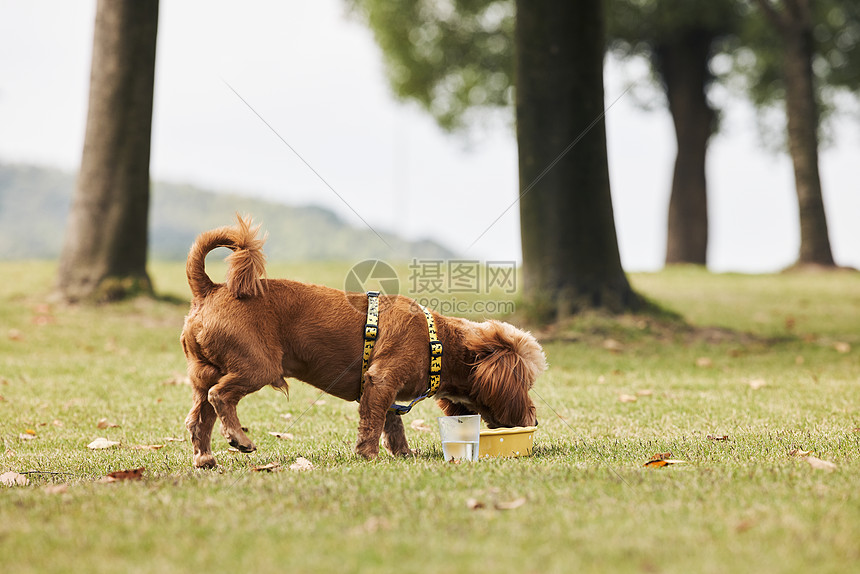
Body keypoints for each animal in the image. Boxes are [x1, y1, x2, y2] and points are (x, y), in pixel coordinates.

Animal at [181, 216, 548, 468]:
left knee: (199, 416)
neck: (439, 344)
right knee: (220, 397)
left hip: (204, 373)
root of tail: (210, 289)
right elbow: (373, 422)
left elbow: (392, 423)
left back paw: (204, 459)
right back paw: (239, 438)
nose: (534, 421)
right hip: (258, 366)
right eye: (526, 384)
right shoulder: (382, 380)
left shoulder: (386, 390)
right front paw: (369, 454)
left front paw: (403, 453)